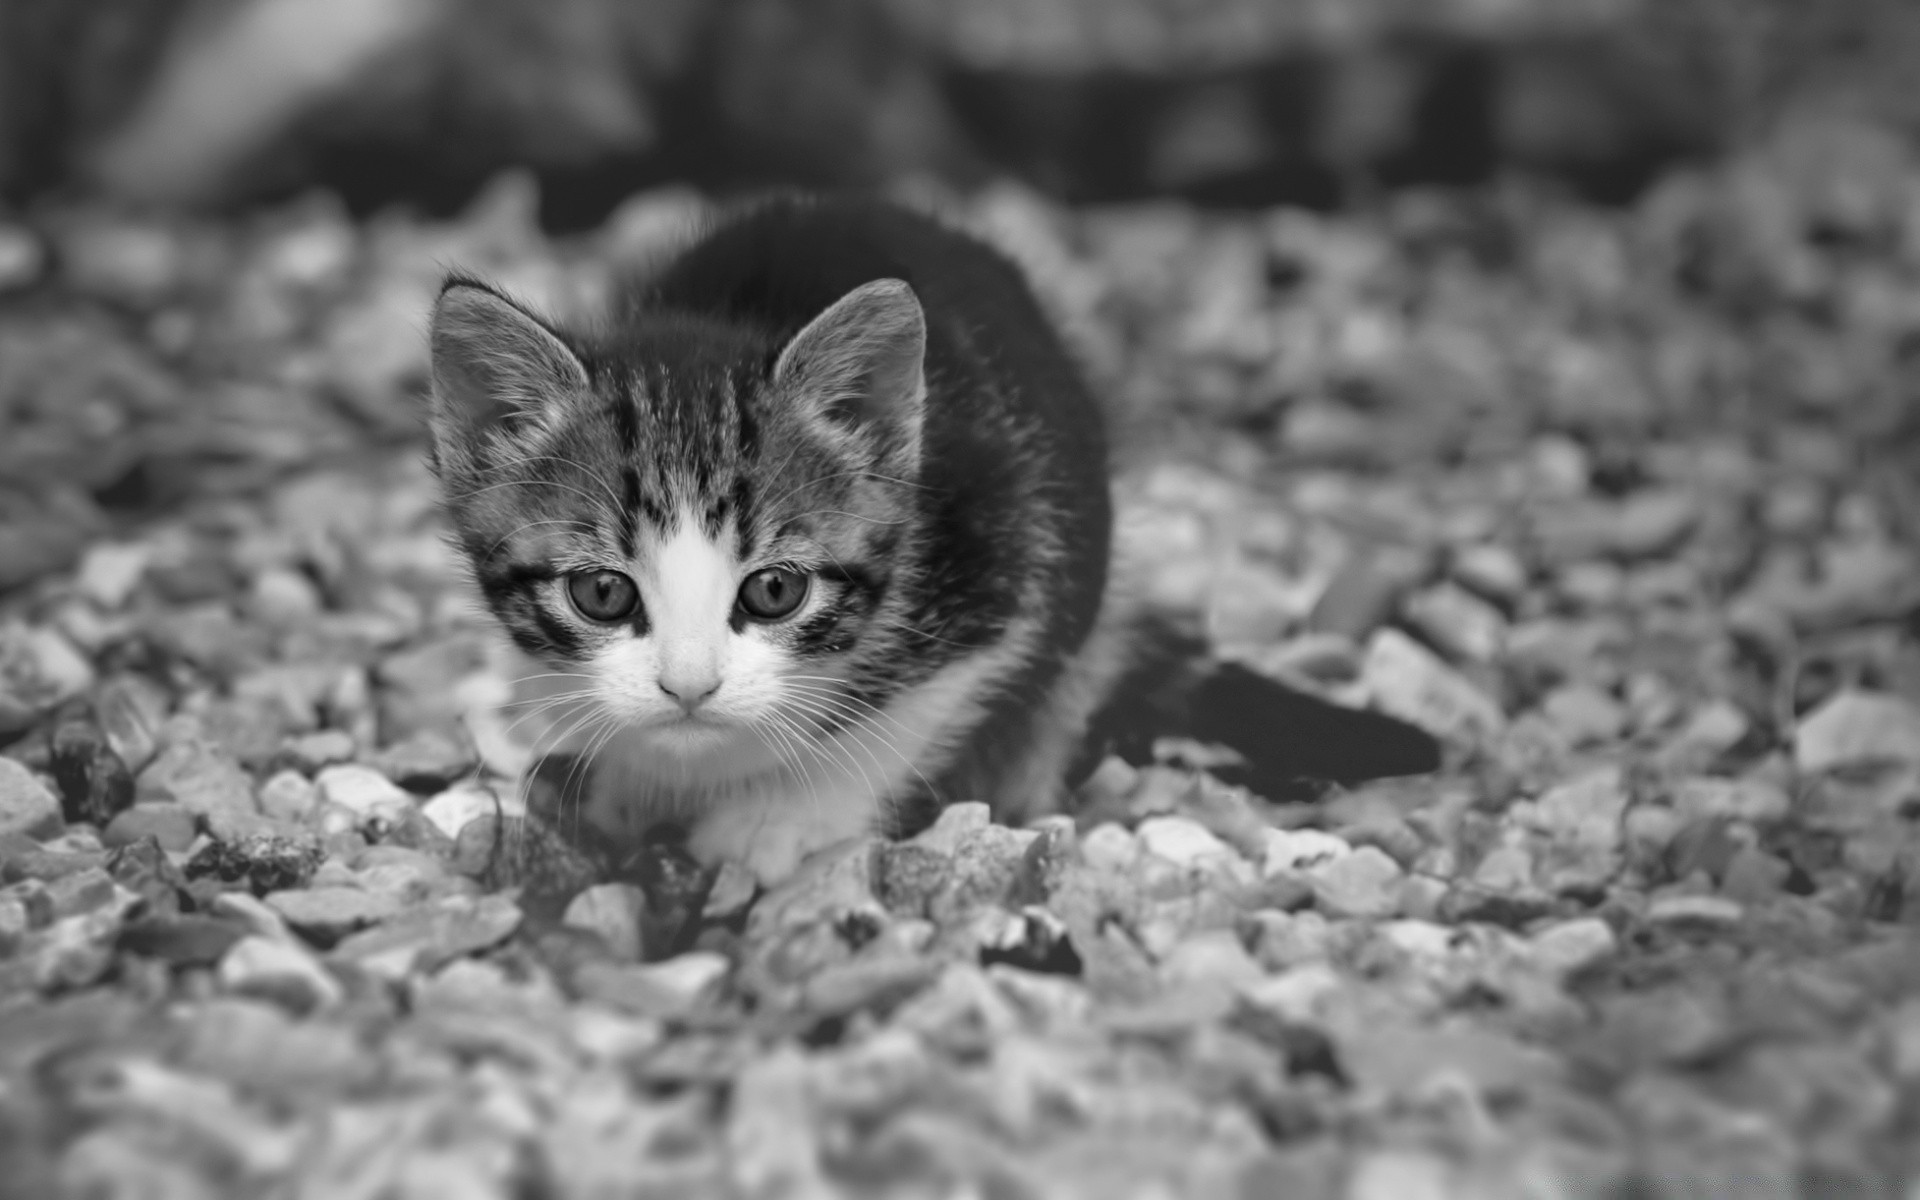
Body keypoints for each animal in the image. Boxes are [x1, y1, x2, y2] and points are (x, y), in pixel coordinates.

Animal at [424, 196, 1443, 883]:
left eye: (774, 591)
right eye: (601, 593)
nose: (689, 688)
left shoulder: (1009, 551)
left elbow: (911, 714)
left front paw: (778, 821)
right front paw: (629, 778)